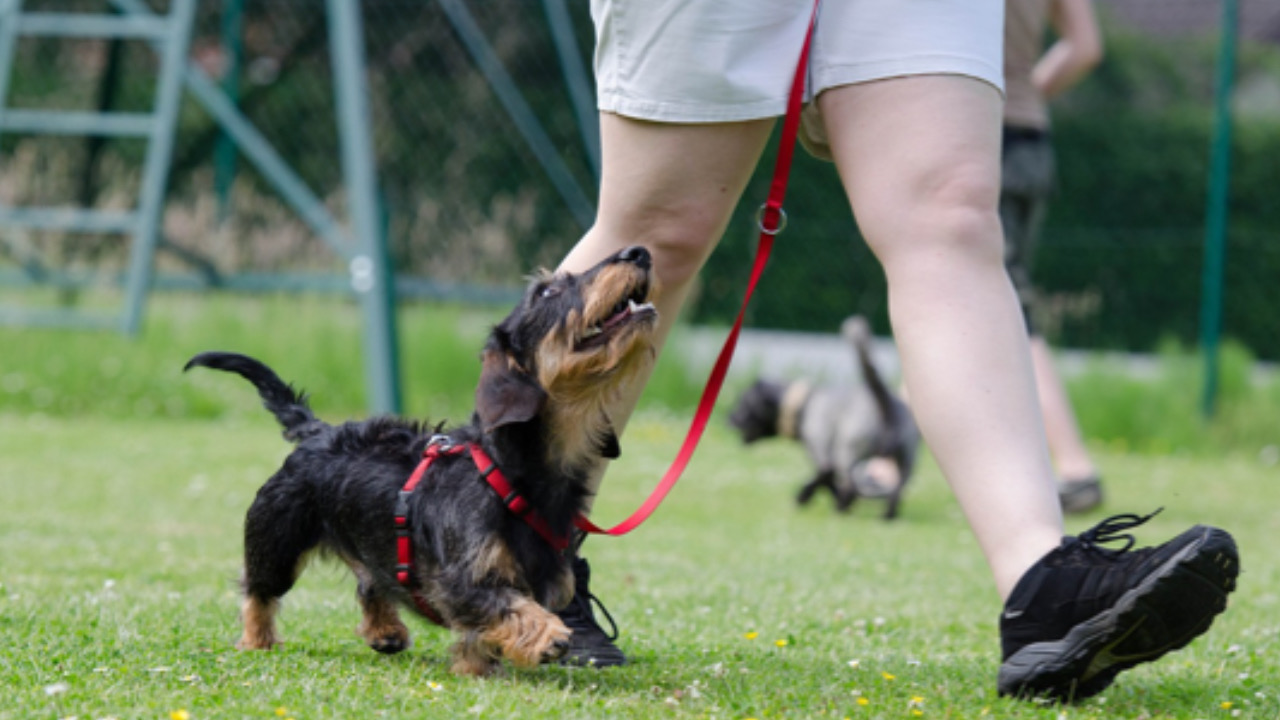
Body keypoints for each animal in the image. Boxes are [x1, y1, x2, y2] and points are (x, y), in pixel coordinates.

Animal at [189, 244, 660, 671]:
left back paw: (385, 630)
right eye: (547, 291)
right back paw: (257, 640)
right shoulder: (460, 582)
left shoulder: (549, 581)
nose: (638, 252)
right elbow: (507, 606)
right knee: (258, 591)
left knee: (370, 582)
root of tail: (319, 431)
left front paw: (476, 666)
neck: (510, 472)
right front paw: (547, 635)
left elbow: (485, 632)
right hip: (275, 540)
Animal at [732, 313, 921, 515]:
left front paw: (804, 497)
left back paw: (841, 507)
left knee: (850, 483)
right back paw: (886, 515)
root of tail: (885, 401)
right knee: (897, 490)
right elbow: (826, 480)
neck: (804, 404)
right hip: (906, 460)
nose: (729, 418)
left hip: (847, 452)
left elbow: (825, 478)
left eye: (743, 404)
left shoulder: (822, 453)